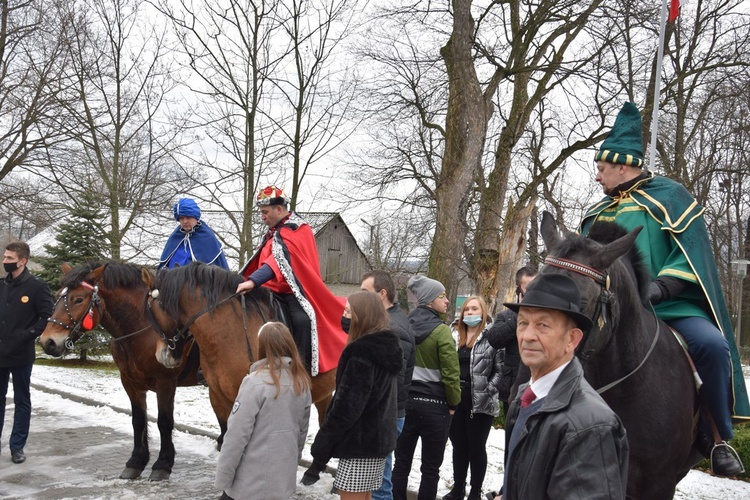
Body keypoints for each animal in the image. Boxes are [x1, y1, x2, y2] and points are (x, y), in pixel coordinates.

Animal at [37, 262, 201, 480]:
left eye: (78, 299)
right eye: (56, 296)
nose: (48, 342)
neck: (143, 328)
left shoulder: (165, 382)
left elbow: (164, 421)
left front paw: (163, 464)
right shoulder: (130, 382)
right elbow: (138, 420)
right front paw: (136, 462)